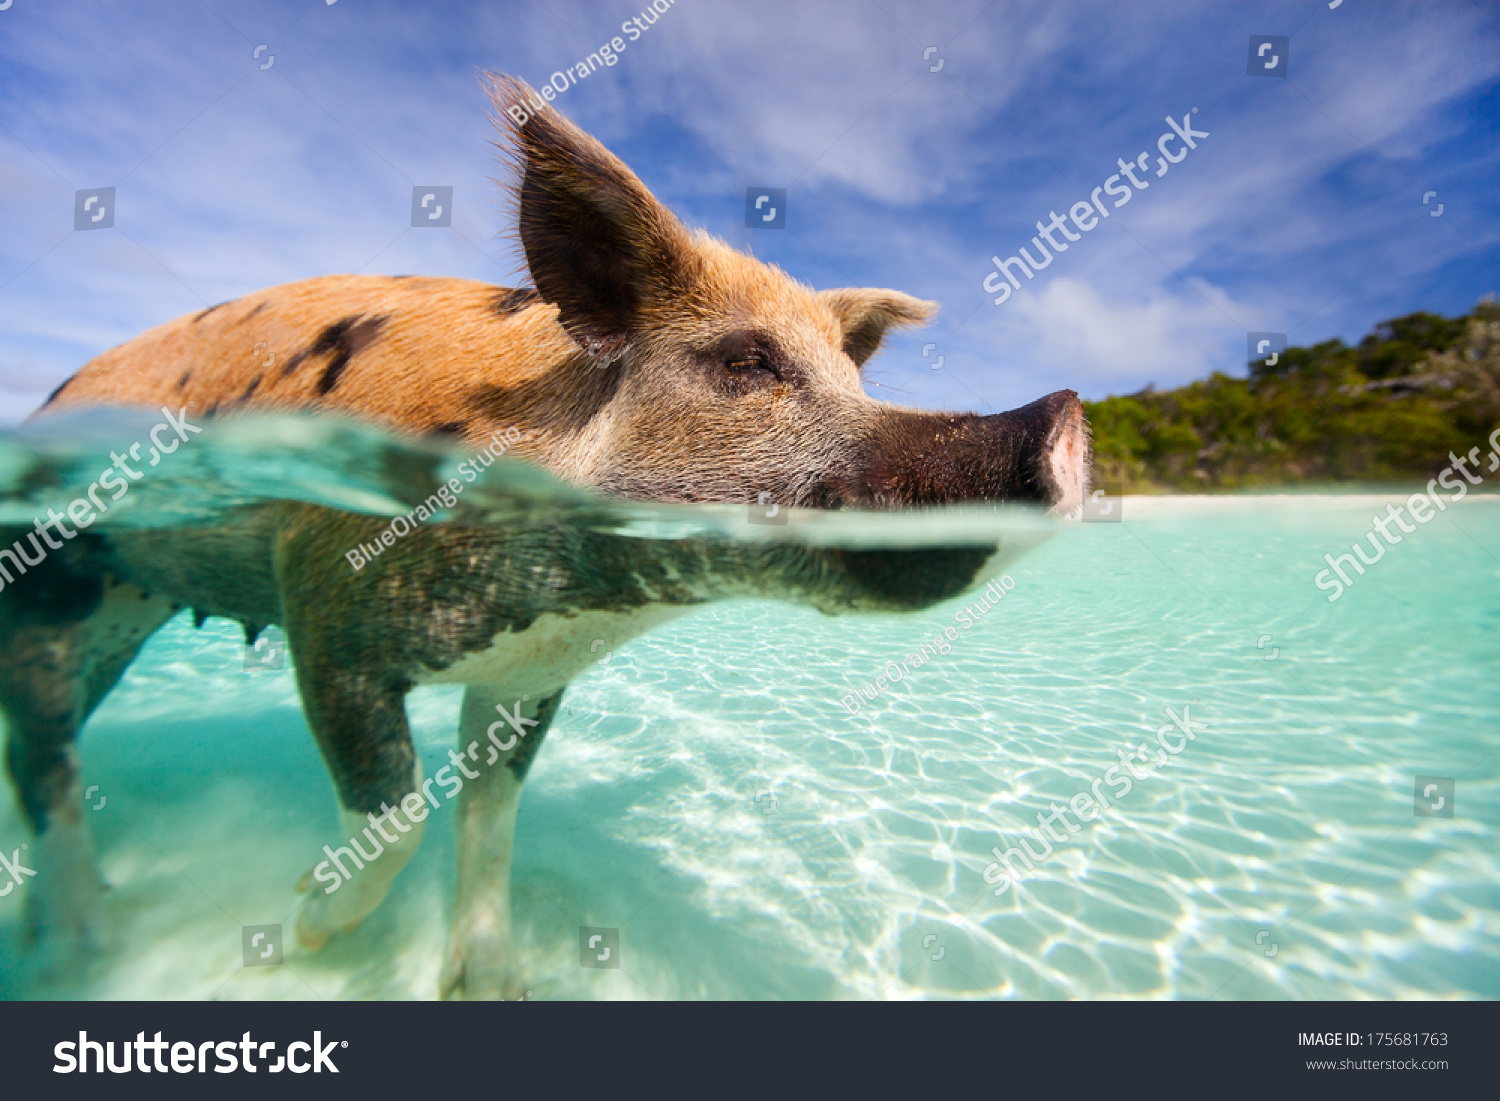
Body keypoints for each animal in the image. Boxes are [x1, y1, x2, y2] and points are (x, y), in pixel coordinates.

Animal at [0, 71, 1086, 1002]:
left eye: (855, 381)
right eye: (747, 362)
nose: (1065, 417)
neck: (583, 598)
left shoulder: (526, 676)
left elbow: (492, 818)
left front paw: (496, 985)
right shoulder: (320, 605)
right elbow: (396, 809)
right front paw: (303, 925)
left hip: (125, 607)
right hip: (53, 579)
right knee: (47, 753)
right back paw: (86, 943)